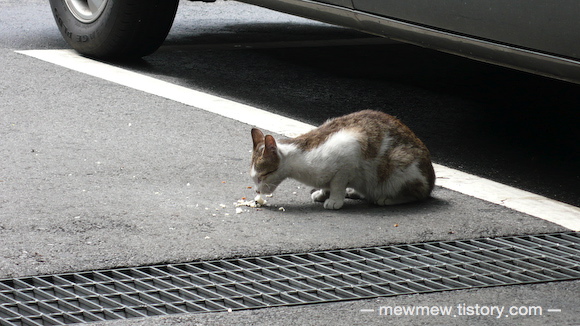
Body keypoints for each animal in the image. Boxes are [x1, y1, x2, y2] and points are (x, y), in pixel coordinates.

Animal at [250, 111, 436, 210]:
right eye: (254, 178)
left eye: (263, 175)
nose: (258, 191)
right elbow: (326, 185)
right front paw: (322, 194)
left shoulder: (348, 155)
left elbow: (337, 184)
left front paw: (334, 200)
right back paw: (355, 192)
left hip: (400, 166)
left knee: (417, 195)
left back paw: (387, 199)